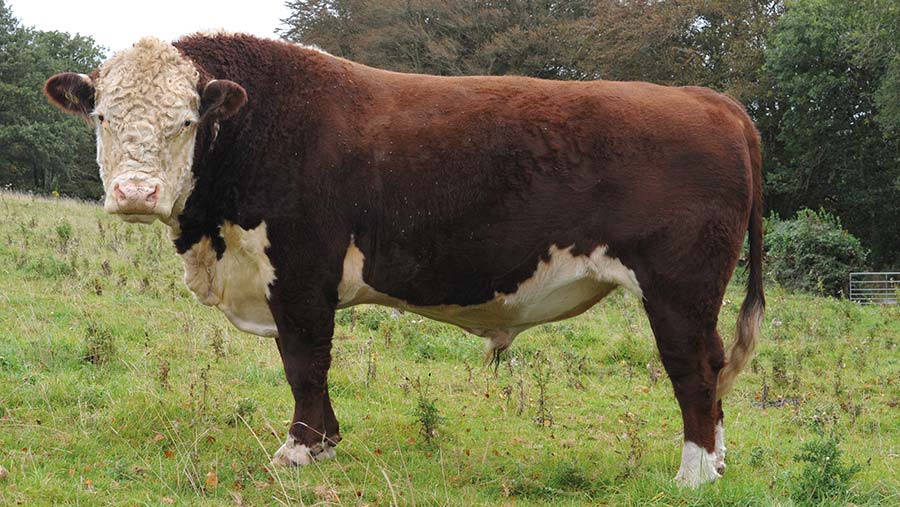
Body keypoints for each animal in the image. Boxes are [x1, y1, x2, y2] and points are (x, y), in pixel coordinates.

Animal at [45, 32, 764, 488]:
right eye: (103, 117)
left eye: (187, 122)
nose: (136, 192)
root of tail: (711, 99)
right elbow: (304, 366)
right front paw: (326, 444)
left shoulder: (300, 273)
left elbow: (305, 362)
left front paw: (299, 450)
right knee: (714, 369)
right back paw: (719, 464)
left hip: (679, 288)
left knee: (694, 373)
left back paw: (694, 475)